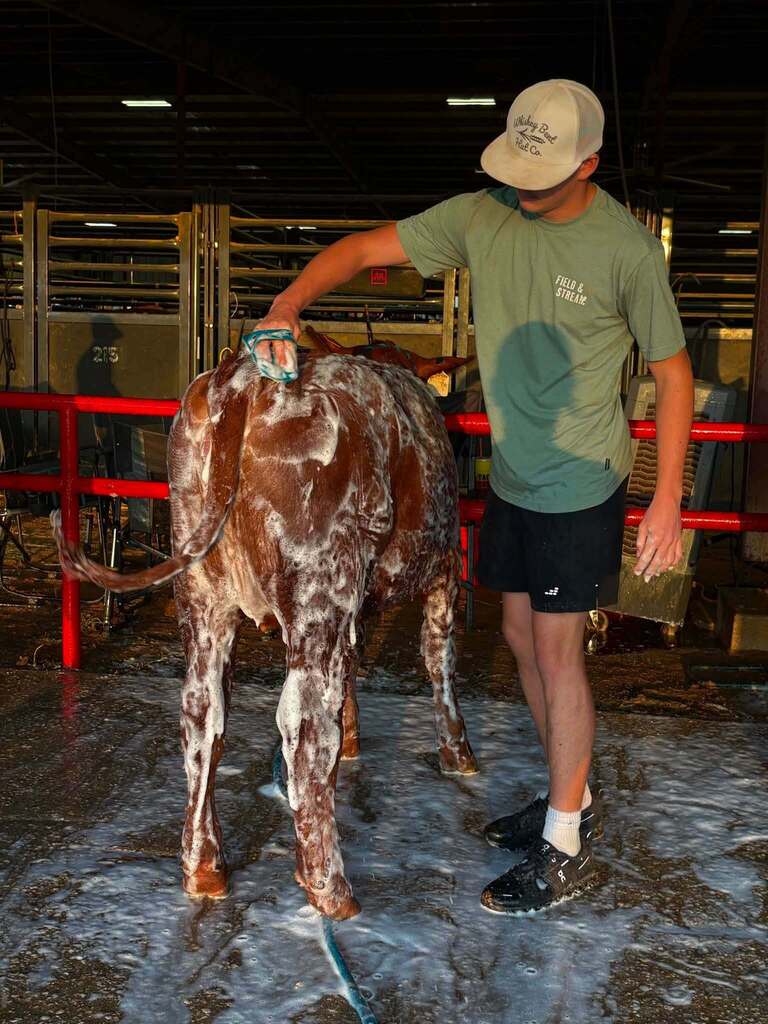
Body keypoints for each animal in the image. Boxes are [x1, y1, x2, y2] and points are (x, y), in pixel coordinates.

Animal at [53, 348, 477, 920]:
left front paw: (353, 738)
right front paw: (457, 751)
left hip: (206, 595)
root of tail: (244, 381)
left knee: (202, 715)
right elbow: (439, 658)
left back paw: (204, 866)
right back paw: (329, 887)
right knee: (304, 724)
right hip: (319, 588)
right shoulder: (443, 568)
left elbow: (355, 667)